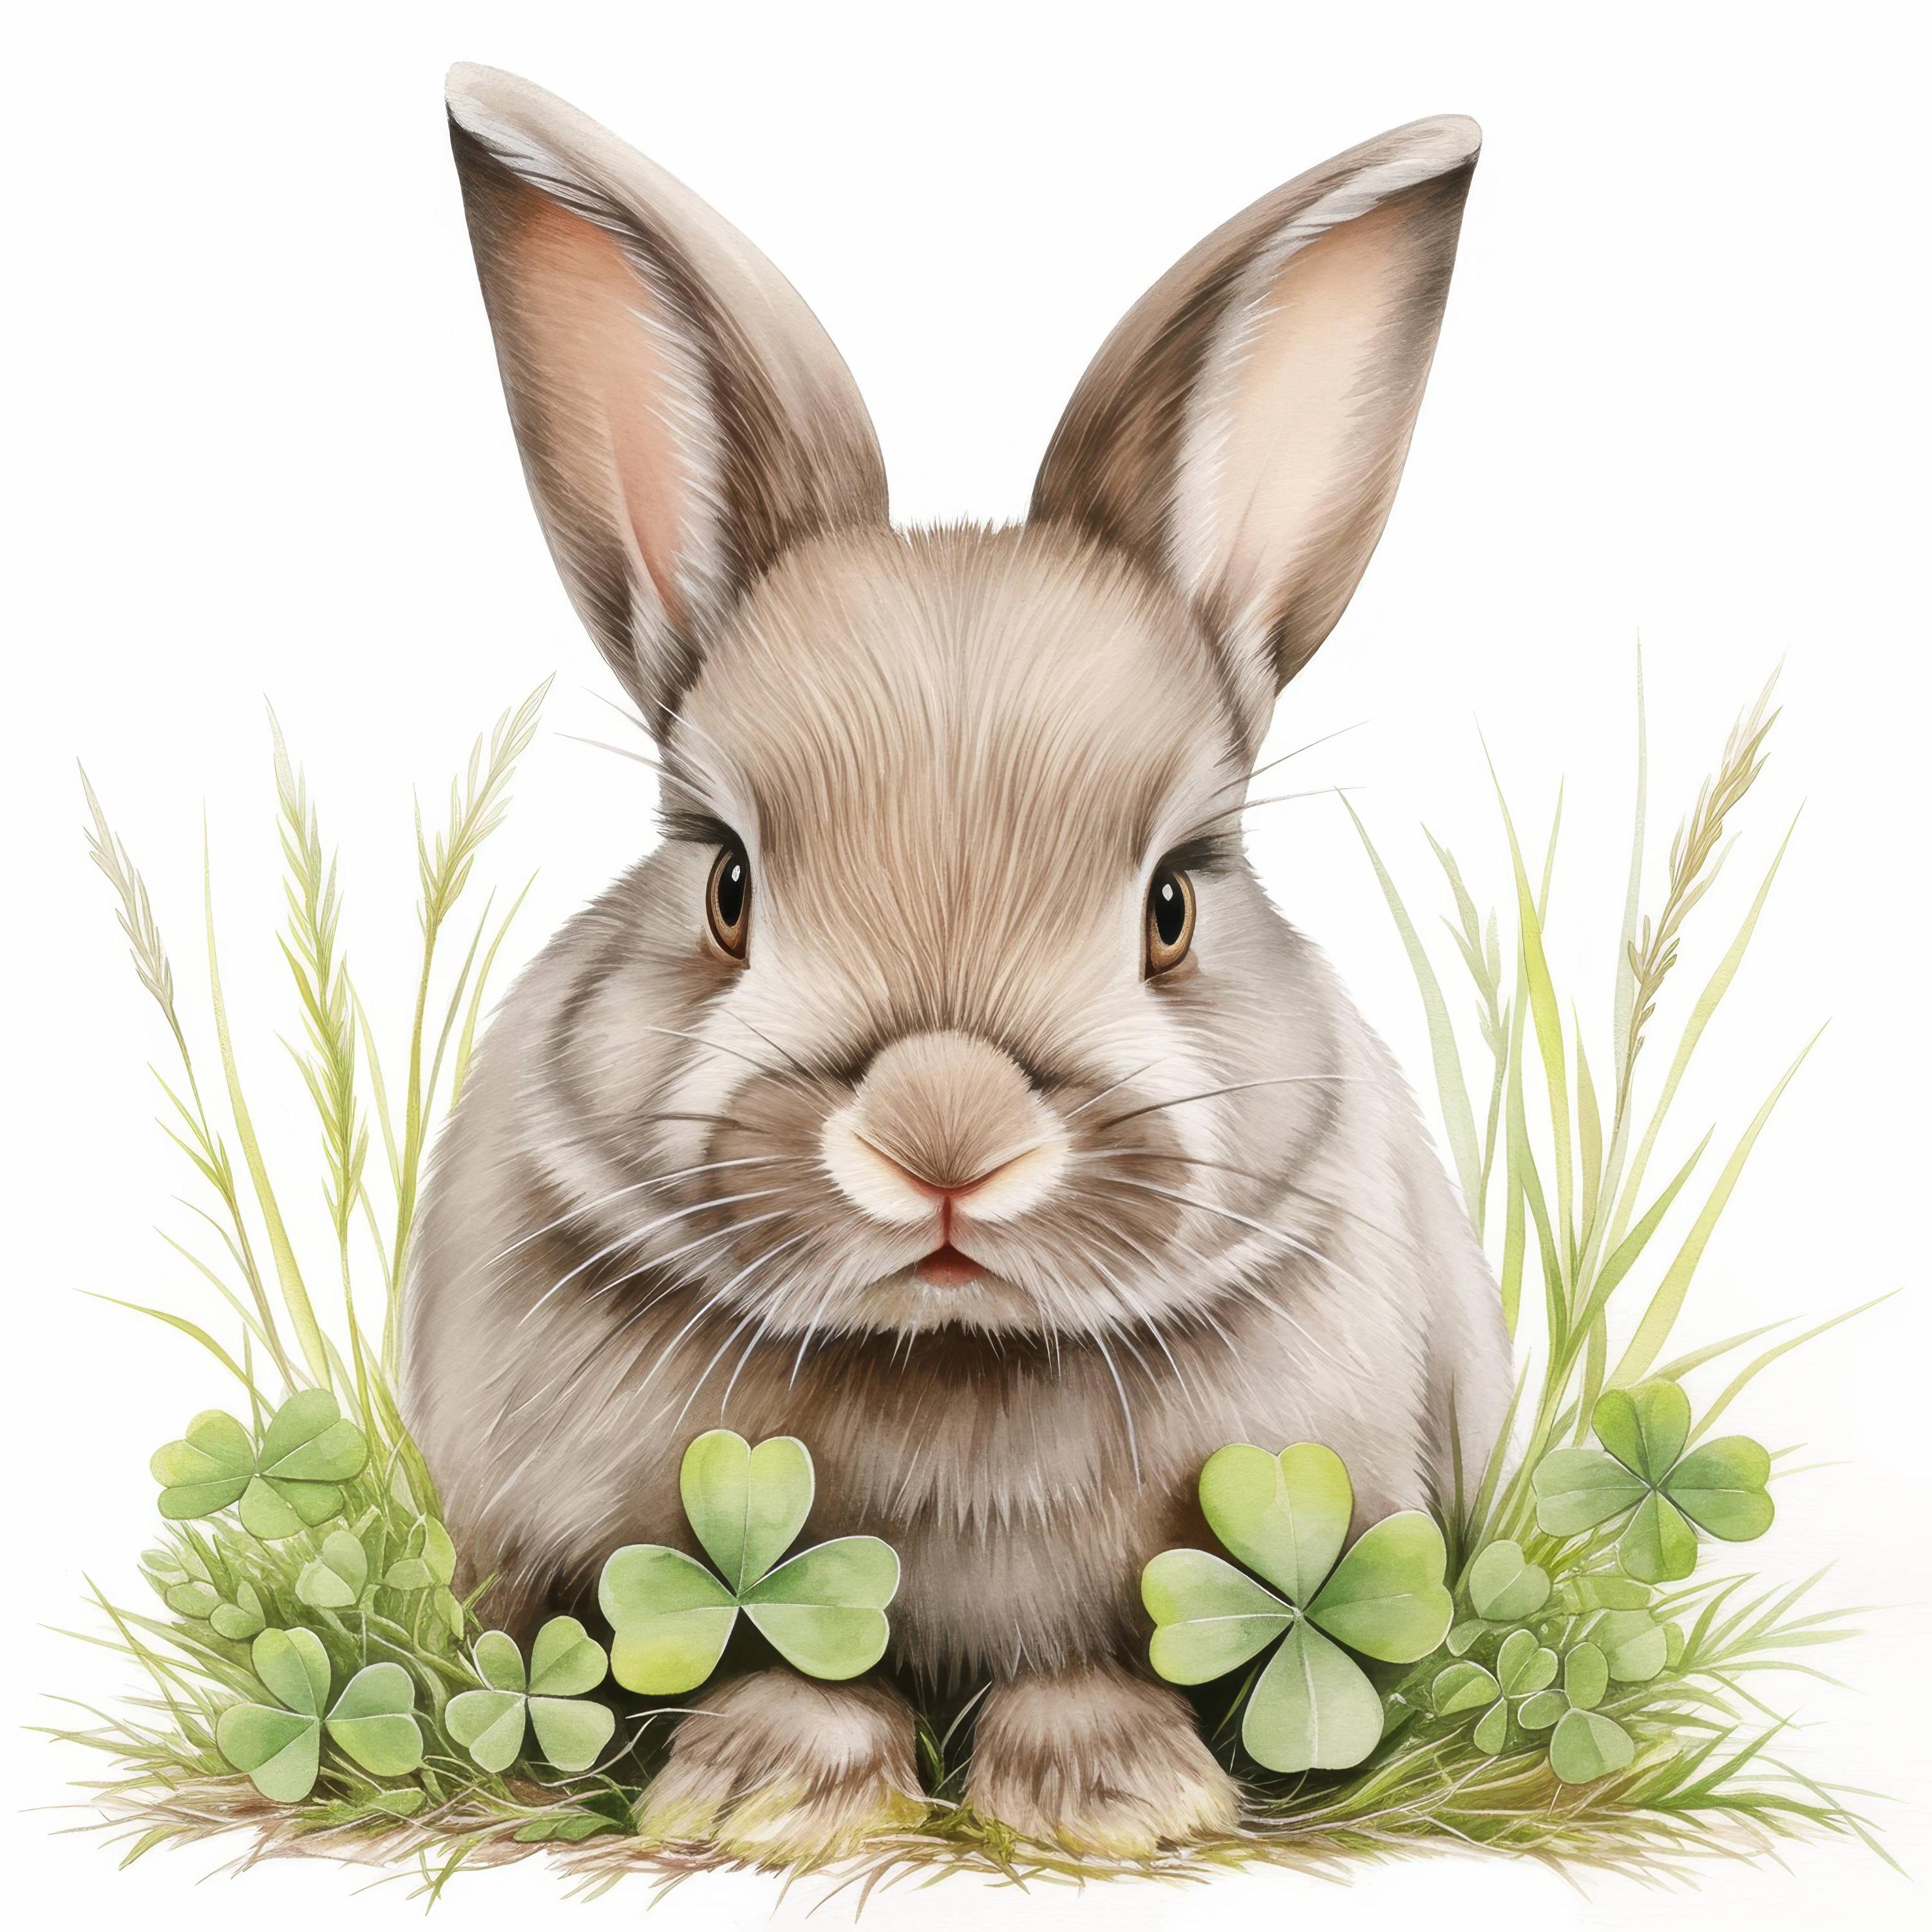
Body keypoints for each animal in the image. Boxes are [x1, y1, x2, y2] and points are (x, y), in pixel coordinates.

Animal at [404, 63, 1512, 1859]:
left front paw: (1118, 1802)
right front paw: (770, 1799)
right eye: (727, 886)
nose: (944, 1143)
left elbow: (1087, 1661)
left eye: (1170, 906)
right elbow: (769, 1660)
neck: (949, 1358)